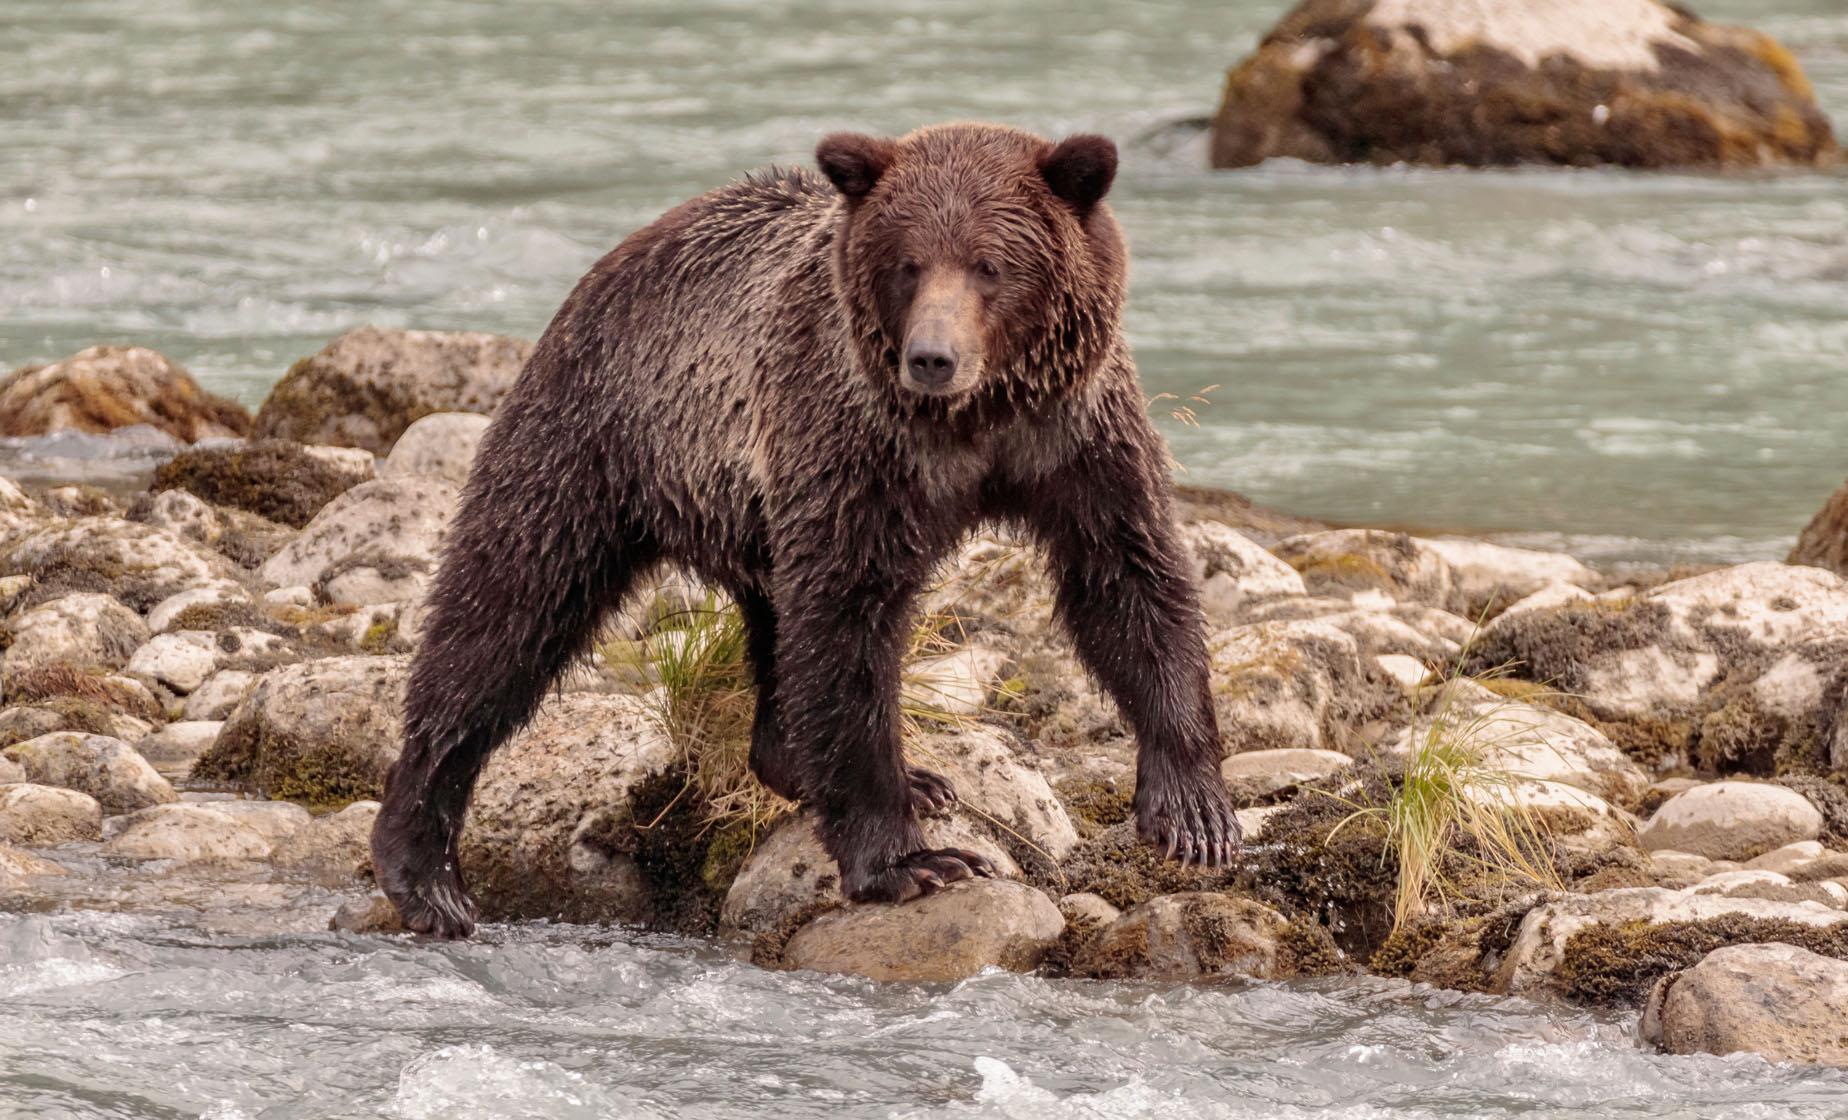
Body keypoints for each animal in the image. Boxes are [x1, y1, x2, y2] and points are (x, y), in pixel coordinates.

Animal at [371, 122, 1241, 938]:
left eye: (990, 264)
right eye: (909, 264)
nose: (932, 357)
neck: (975, 422)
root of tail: (614, 259)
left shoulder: (1075, 436)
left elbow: (1128, 579)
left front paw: (1194, 812)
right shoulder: (856, 445)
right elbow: (847, 623)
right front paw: (911, 860)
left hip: (743, 504)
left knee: (767, 625)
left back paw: (865, 769)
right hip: (593, 439)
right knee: (505, 614)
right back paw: (425, 870)